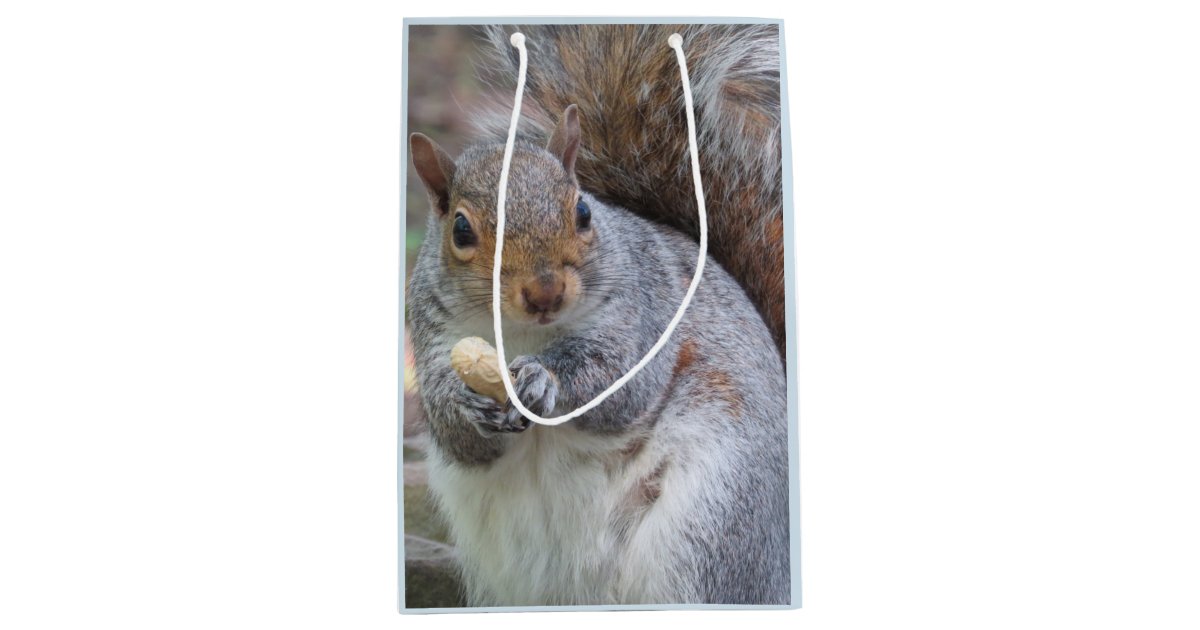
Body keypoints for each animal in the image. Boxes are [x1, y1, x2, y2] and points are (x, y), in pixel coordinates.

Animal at [406, 24, 789, 606]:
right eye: (462, 230)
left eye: (583, 211)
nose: (545, 292)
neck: (522, 335)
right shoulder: (431, 336)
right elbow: (459, 438)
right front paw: (467, 404)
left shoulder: (642, 314)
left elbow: (617, 383)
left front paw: (542, 379)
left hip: (714, 525)